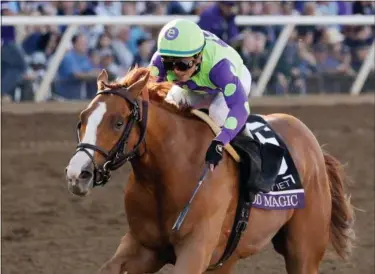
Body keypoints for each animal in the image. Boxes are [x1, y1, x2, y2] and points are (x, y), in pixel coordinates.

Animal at [64, 67, 356, 274]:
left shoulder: (195, 250)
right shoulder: (144, 246)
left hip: (304, 251)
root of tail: (313, 145)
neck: (170, 172)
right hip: (228, 257)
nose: (78, 174)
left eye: (118, 122)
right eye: (81, 120)